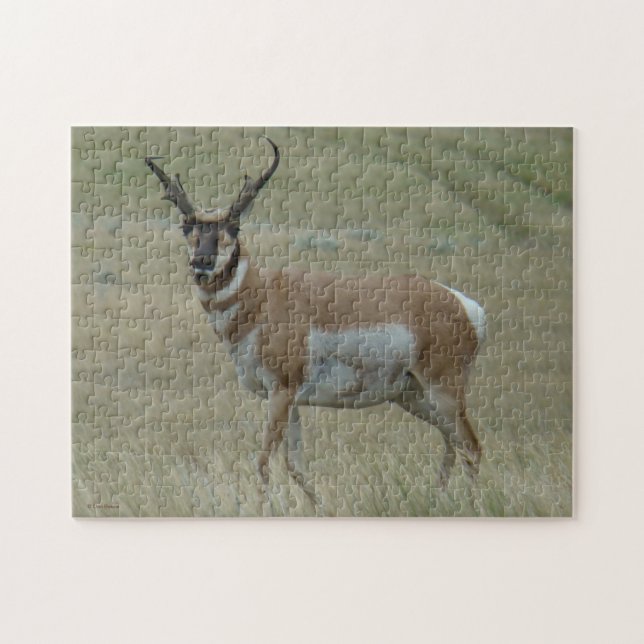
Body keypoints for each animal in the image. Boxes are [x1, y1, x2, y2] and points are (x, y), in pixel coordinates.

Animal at [145, 136, 486, 504]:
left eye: (233, 227)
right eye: (186, 227)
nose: (203, 261)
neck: (263, 296)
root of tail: (462, 303)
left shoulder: (281, 391)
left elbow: (263, 461)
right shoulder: (292, 401)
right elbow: (295, 466)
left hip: (443, 389)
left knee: (471, 446)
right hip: (413, 395)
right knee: (452, 443)